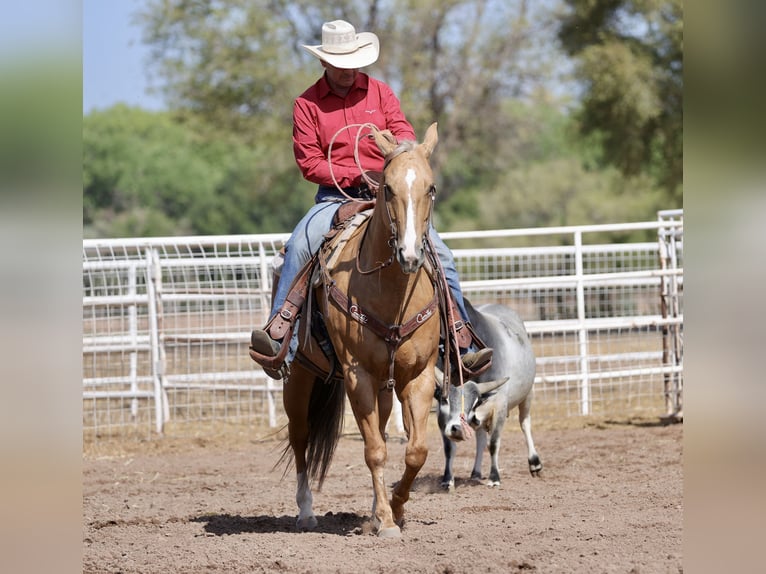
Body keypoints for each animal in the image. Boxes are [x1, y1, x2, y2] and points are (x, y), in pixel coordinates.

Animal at [278, 123, 443, 537]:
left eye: (431, 187)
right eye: (387, 187)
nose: (410, 255)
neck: (391, 292)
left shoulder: (418, 375)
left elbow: (415, 450)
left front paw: (394, 509)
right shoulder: (358, 376)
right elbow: (374, 451)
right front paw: (385, 520)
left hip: (385, 384)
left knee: (381, 429)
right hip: (300, 376)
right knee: (300, 436)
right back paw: (306, 511)